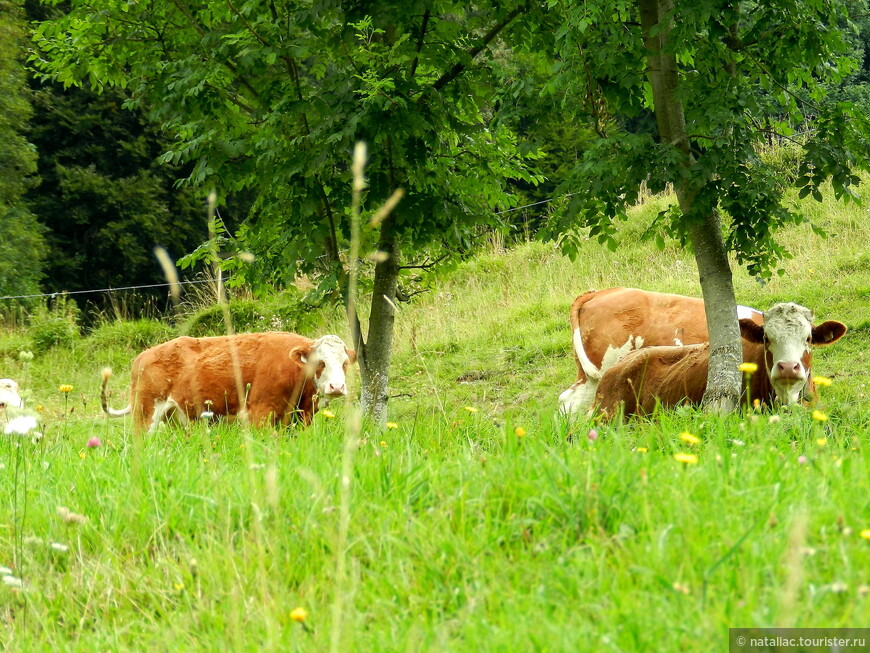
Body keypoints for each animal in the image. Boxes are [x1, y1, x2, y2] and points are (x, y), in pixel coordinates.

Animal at [101, 332, 358, 432]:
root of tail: (142, 356)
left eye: (345, 363)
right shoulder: (260, 413)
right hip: (145, 414)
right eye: (320, 362)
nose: (337, 387)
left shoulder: (300, 418)